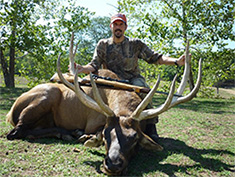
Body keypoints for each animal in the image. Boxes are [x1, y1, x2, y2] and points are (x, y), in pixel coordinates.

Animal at [5, 40, 202, 175]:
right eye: (107, 134)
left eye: (134, 138)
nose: (112, 164)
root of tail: (10, 111)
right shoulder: (93, 123)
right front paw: (88, 137)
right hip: (48, 94)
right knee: (16, 132)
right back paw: (70, 133)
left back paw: (69, 133)